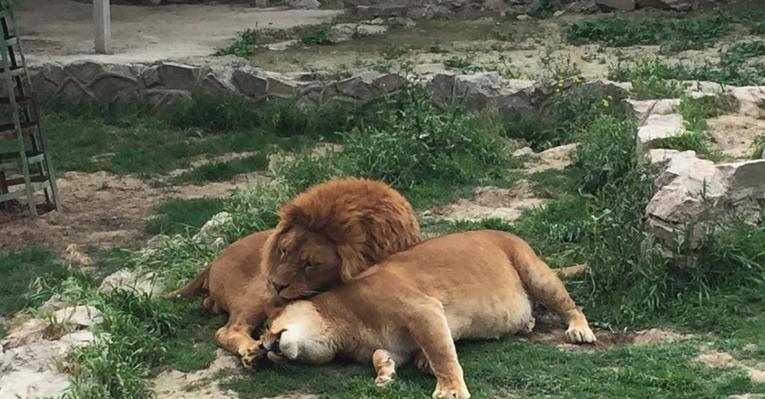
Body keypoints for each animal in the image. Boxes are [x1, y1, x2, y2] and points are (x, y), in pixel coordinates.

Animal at [167, 178, 420, 360]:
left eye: (310, 264)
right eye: (283, 250)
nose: (275, 285)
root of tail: (214, 260)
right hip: (255, 293)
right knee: (227, 330)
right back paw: (252, 351)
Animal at [248, 231, 592, 399]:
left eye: (266, 326)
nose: (263, 348)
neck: (342, 328)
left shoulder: (423, 310)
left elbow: (441, 352)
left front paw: (450, 389)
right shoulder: (396, 343)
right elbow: (383, 355)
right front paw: (385, 374)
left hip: (535, 272)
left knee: (571, 305)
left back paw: (579, 330)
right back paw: (527, 323)